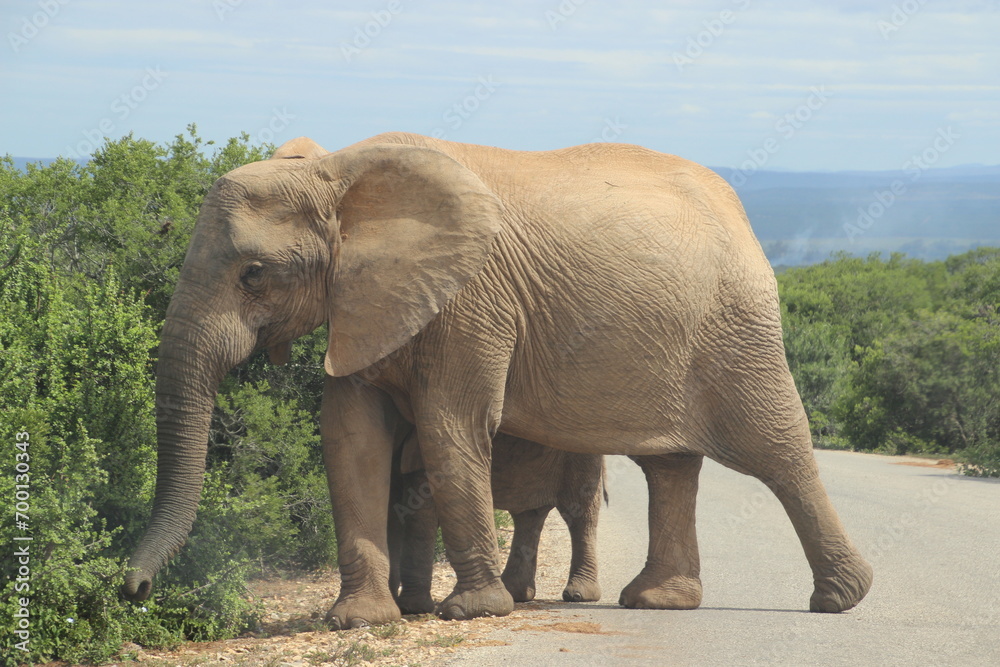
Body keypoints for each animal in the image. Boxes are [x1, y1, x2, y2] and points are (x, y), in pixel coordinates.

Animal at [388, 432, 604, 615]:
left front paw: (411, 606)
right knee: (529, 514)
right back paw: (515, 592)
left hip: (579, 449)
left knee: (581, 510)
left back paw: (578, 594)